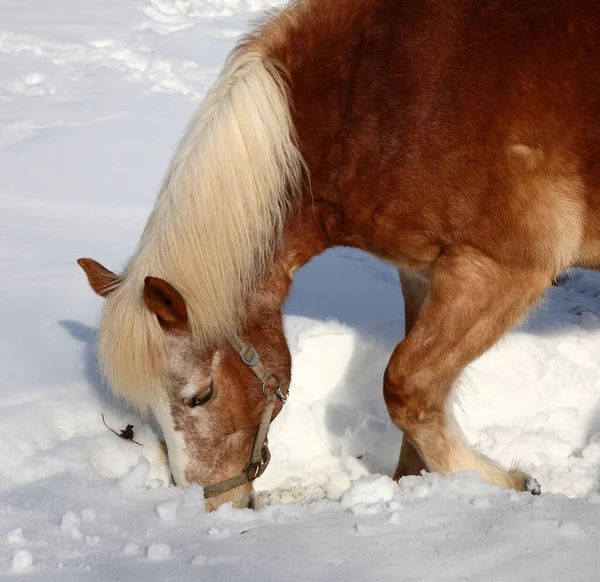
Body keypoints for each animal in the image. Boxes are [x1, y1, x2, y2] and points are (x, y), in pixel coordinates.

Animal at [78, 0, 600, 512]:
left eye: (201, 396)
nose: (213, 505)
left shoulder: (497, 270)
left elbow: (406, 386)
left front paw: (506, 482)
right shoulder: (421, 272)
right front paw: (416, 485)